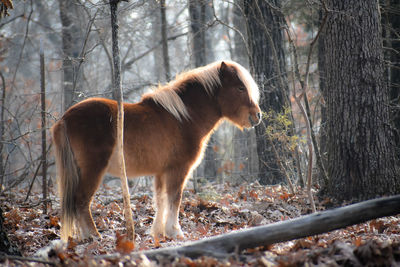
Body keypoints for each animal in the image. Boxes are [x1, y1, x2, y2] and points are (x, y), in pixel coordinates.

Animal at [50, 60, 262, 243]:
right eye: (240, 88)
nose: (257, 115)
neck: (183, 118)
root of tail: (65, 118)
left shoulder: (161, 172)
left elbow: (160, 199)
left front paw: (159, 232)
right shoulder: (178, 170)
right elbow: (175, 198)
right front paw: (175, 232)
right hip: (93, 170)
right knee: (81, 201)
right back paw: (93, 236)